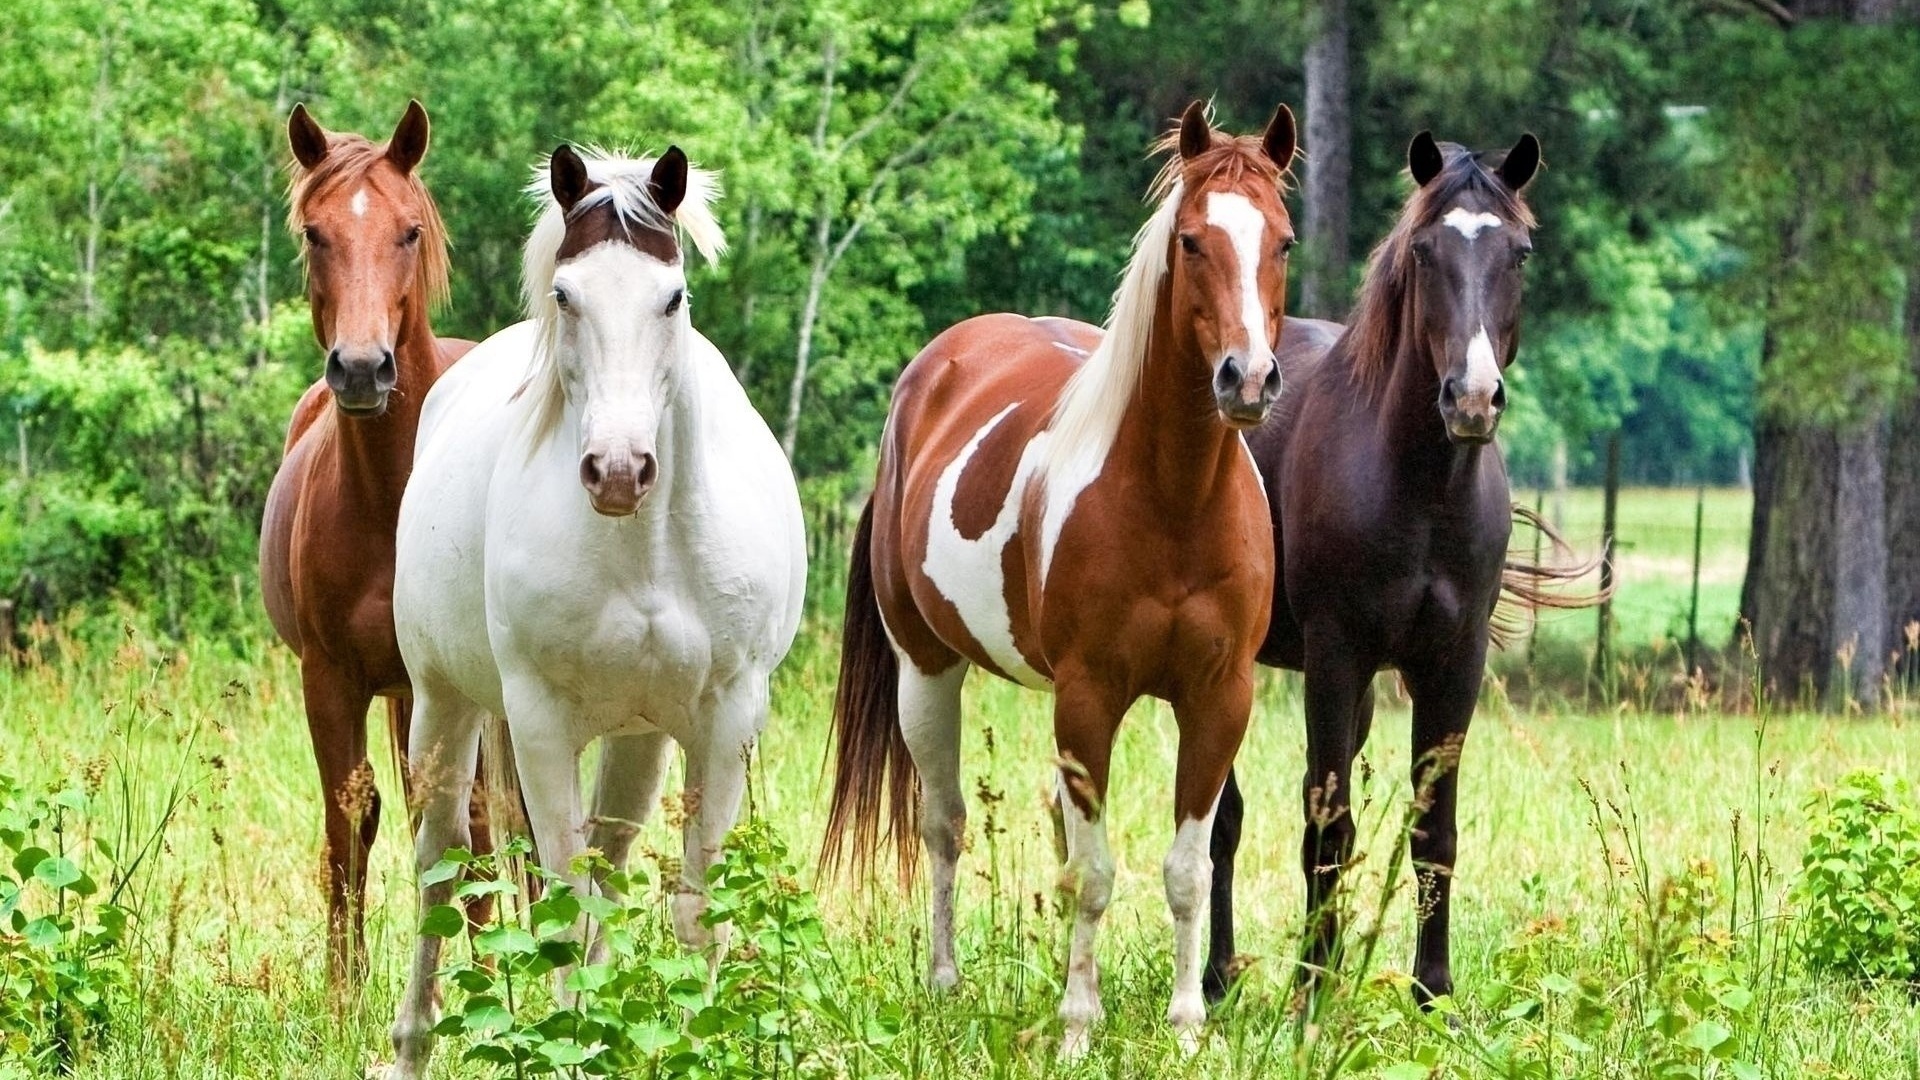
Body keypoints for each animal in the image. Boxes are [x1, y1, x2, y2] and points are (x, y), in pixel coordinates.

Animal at [259, 100, 483, 983]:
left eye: (408, 231)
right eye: (315, 232)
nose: (361, 369)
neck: (391, 499)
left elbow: (466, 828)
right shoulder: (330, 680)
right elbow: (348, 825)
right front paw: (343, 992)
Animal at [385, 145, 806, 1076]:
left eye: (672, 296)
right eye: (565, 294)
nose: (618, 470)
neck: (644, 551)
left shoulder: (727, 720)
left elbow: (692, 910)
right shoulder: (539, 722)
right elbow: (564, 910)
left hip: (639, 740)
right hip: (443, 704)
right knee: (440, 866)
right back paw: (411, 1044)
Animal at [817, 102, 1297, 1053]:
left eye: (1284, 242)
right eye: (1192, 241)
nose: (1249, 379)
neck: (1174, 500)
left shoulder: (1219, 699)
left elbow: (1184, 869)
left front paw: (1188, 1027)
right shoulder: (1088, 698)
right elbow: (1096, 873)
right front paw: (1079, 1026)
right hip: (925, 671)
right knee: (945, 825)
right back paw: (945, 982)